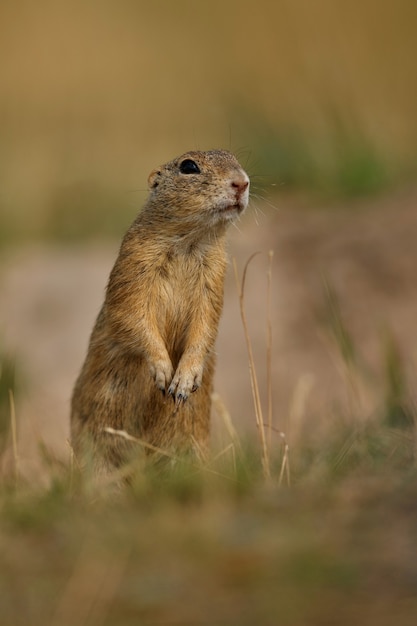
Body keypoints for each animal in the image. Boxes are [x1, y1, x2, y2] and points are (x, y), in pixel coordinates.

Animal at [70, 150, 249, 472]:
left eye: (235, 159)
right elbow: (131, 313)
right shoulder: (135, 262)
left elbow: (206, 325)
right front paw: (164, 372)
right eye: (189, 166)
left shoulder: (215, 278)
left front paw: (184, 382)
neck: (190, 241)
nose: (241, 182)